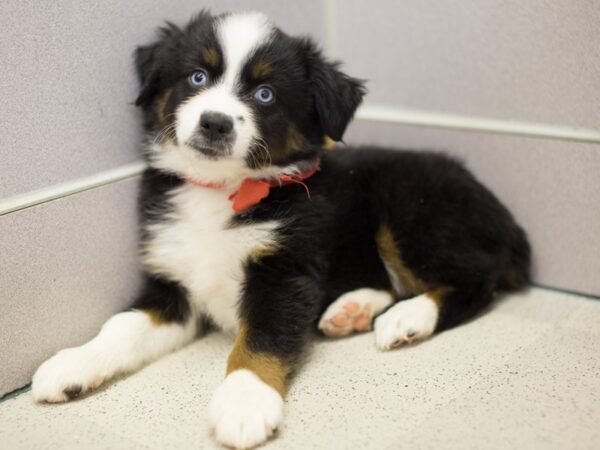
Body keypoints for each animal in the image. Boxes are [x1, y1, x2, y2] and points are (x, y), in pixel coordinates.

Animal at [32, 10, 528, 450]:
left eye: (265, 94)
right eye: (197, 77)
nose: (215, 122)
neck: (221, 191)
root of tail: (501, 212)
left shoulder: (283, 272)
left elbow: (261, 340)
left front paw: (244, 402)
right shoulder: (174, 283)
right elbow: (122, 326)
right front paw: (73, 364)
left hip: (411, 209)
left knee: (475, 278)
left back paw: (408, 319)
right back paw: (351, 311)